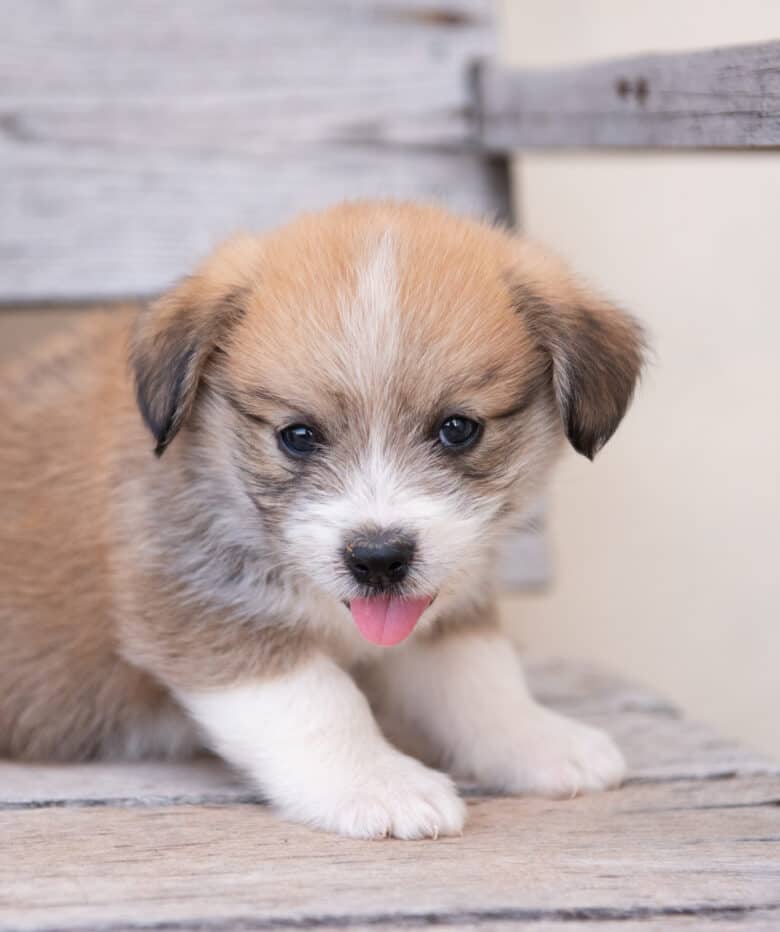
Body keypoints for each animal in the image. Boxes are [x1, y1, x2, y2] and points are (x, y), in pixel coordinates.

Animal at [0, 202, 644, 836]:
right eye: (298, 435)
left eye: (459, 428)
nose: (379, 559)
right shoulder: (202, 611)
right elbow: (321, 703)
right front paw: (378, 783)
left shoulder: (441, 615)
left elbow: (480, 677)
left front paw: (537, 740)